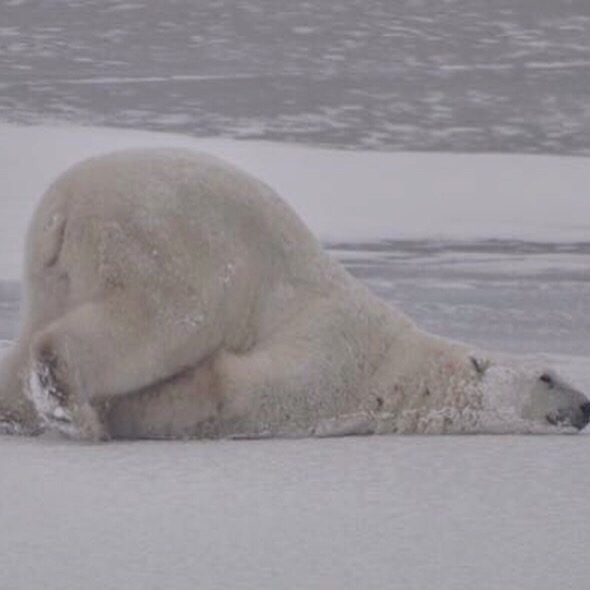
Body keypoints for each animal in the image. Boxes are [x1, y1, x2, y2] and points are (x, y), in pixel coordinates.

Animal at [0, 149, 588, 440]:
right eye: (548, 376)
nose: (585, 406)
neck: (400, 366)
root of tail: (66, 205)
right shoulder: (338, 354)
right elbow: (238, 387)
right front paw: (140, 412)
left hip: (52, 271)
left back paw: (22, 412)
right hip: (162, 242)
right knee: (165, 319)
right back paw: (71, 407)